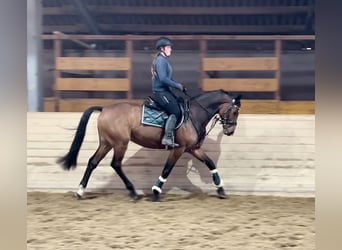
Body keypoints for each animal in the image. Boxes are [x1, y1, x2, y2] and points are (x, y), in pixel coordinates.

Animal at [57, 89, 242, 202]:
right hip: (120, 143)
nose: (231, 131)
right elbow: (167, 168)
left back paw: (80, 191)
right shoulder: (179, 149)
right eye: (234, 111)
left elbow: (210, 162)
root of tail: (105, 109)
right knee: (115, 164)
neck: (194, 114)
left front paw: (220, 189)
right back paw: (132, 192)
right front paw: (155, 192)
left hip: (107, 143)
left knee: (92, 162)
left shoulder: (192, 148)